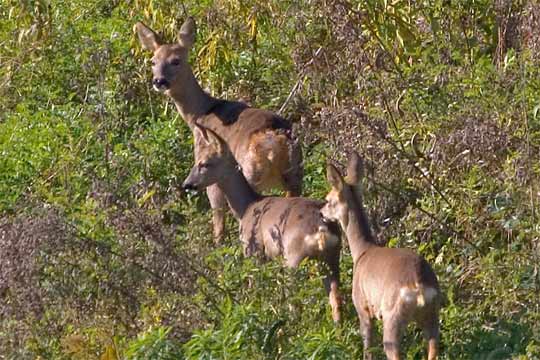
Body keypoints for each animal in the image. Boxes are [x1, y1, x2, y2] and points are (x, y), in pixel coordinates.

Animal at [135, 16, 304, 242]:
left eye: (176, 60)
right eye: (153, 61)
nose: (159, 81)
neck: (202, 112)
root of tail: (278, 141)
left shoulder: (210, 166)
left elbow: (218, 220)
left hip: (251, 172)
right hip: (295, 174)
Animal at [181, 126, 342, 324]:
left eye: (205, 163)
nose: (187, 184)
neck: (246, 207)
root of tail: (322, 227)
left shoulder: (253, 251)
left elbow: (254, 286)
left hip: (294, 257)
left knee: (296, 300)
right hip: (331, 257)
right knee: (336, 300)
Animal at [320, 153, 438, 360]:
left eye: (328, 200)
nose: (321, 213)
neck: (362, 251)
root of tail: (420, 286)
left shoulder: (363, 307)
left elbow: (367, 348)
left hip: (392, 318)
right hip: (432, 316)